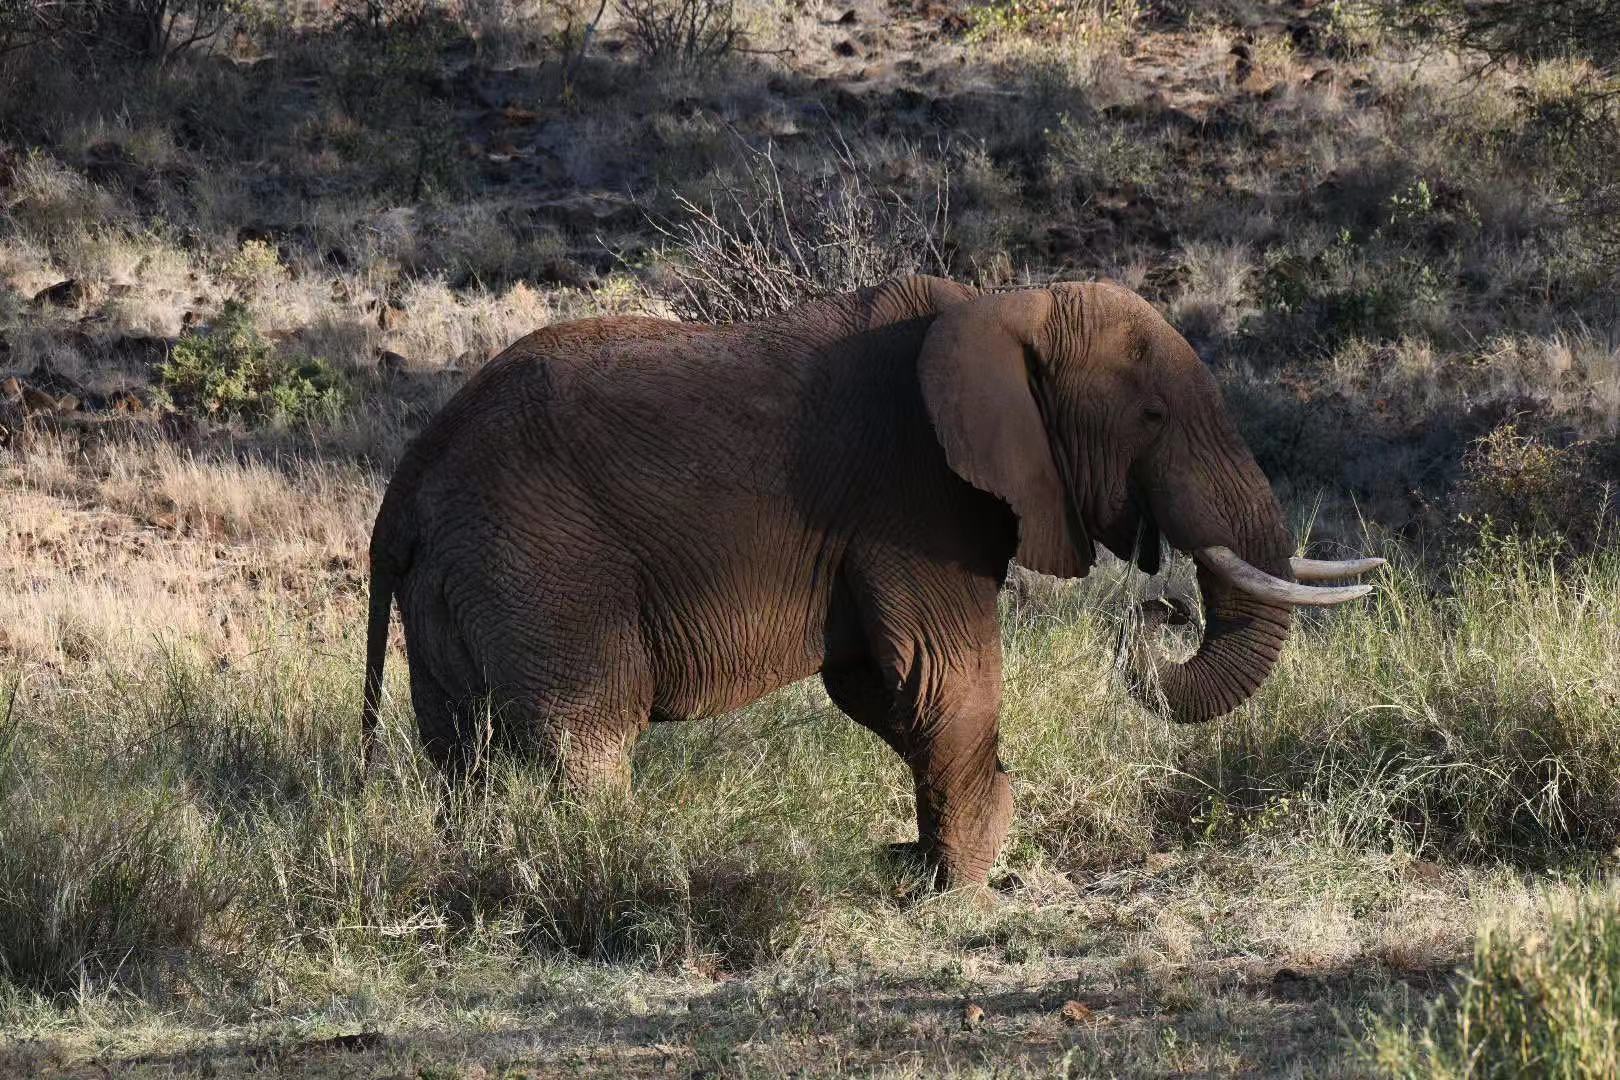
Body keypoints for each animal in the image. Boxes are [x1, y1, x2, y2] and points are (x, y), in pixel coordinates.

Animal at [364, 276, 1380, 887]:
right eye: (1155, 416)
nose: (1157, 607)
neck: (1003, 309)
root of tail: (401, 494)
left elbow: (878, 687)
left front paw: (927, 866)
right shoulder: (912, 495)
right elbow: (944, 677)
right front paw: (969, 885)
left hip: (465, 582)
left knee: (461, 753)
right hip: (542, 569)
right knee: (585, 738)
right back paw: (626, 877)